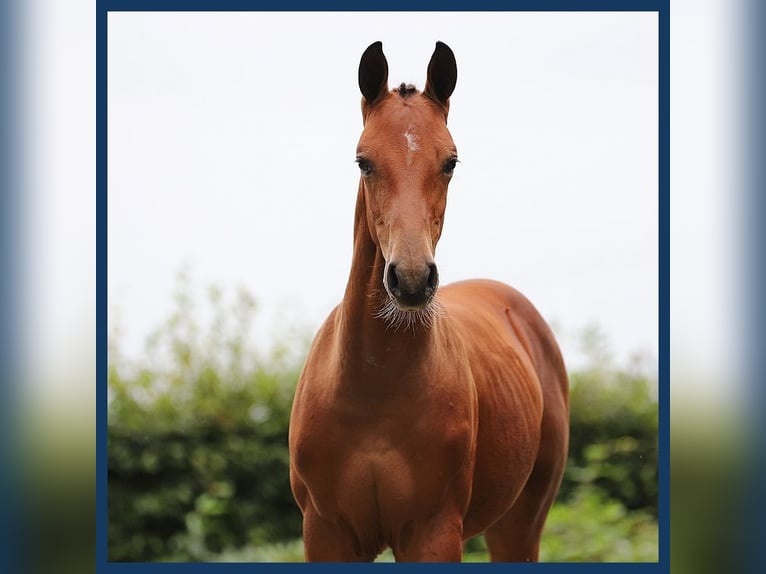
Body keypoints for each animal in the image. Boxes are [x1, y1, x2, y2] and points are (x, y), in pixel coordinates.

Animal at [288, 41, 568, 568]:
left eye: (450, 161)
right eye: (363, 161)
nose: (412, 279)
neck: (373, 389)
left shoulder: (432, 532)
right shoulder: (327, 533)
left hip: (520, 524)